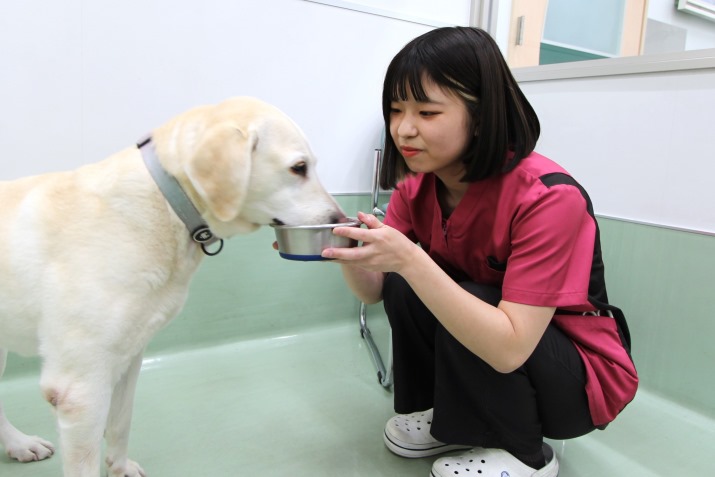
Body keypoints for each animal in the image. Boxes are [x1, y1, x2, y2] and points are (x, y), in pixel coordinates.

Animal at [0, 97, 346, 476]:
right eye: (299, 168)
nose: (341, 221)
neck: (166, 204)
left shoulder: (129, 358)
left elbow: (121, 423)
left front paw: (119, 467)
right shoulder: (79, 388)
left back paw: (20, 445)